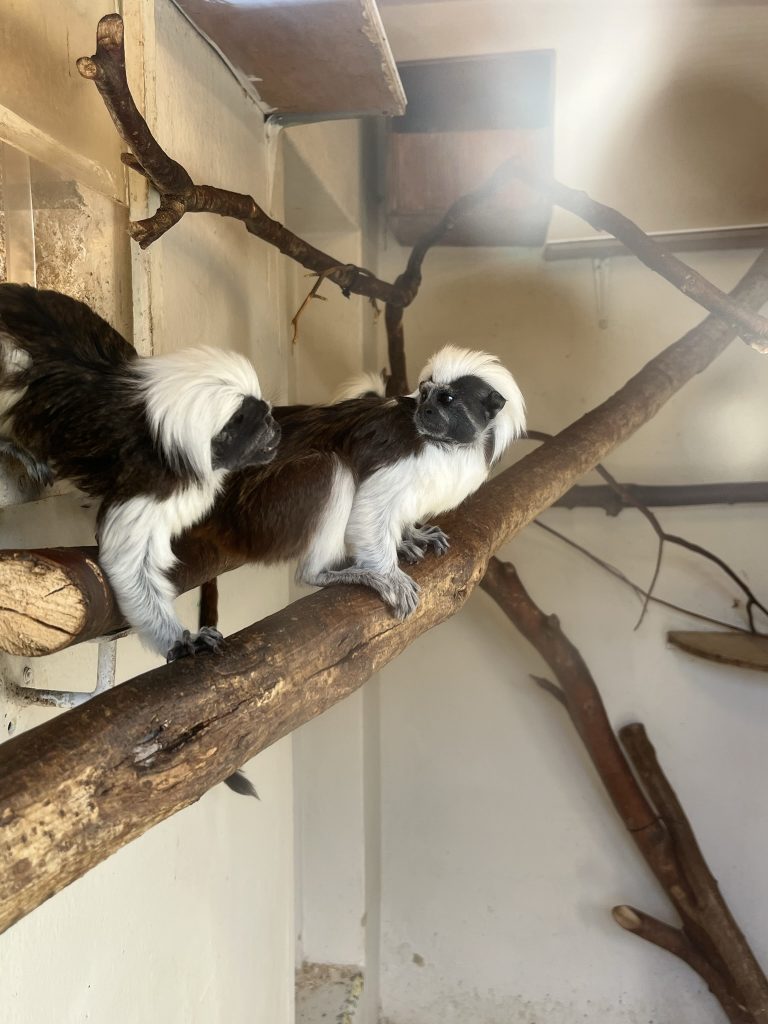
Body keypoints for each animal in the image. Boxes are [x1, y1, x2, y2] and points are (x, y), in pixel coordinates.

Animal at [0, 283, 280, 661]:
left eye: (268, 416)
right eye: (261, 427)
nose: (277, 430)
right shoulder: (151, 483)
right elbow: (128, 564)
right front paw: (182, 640)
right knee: (17, 362)